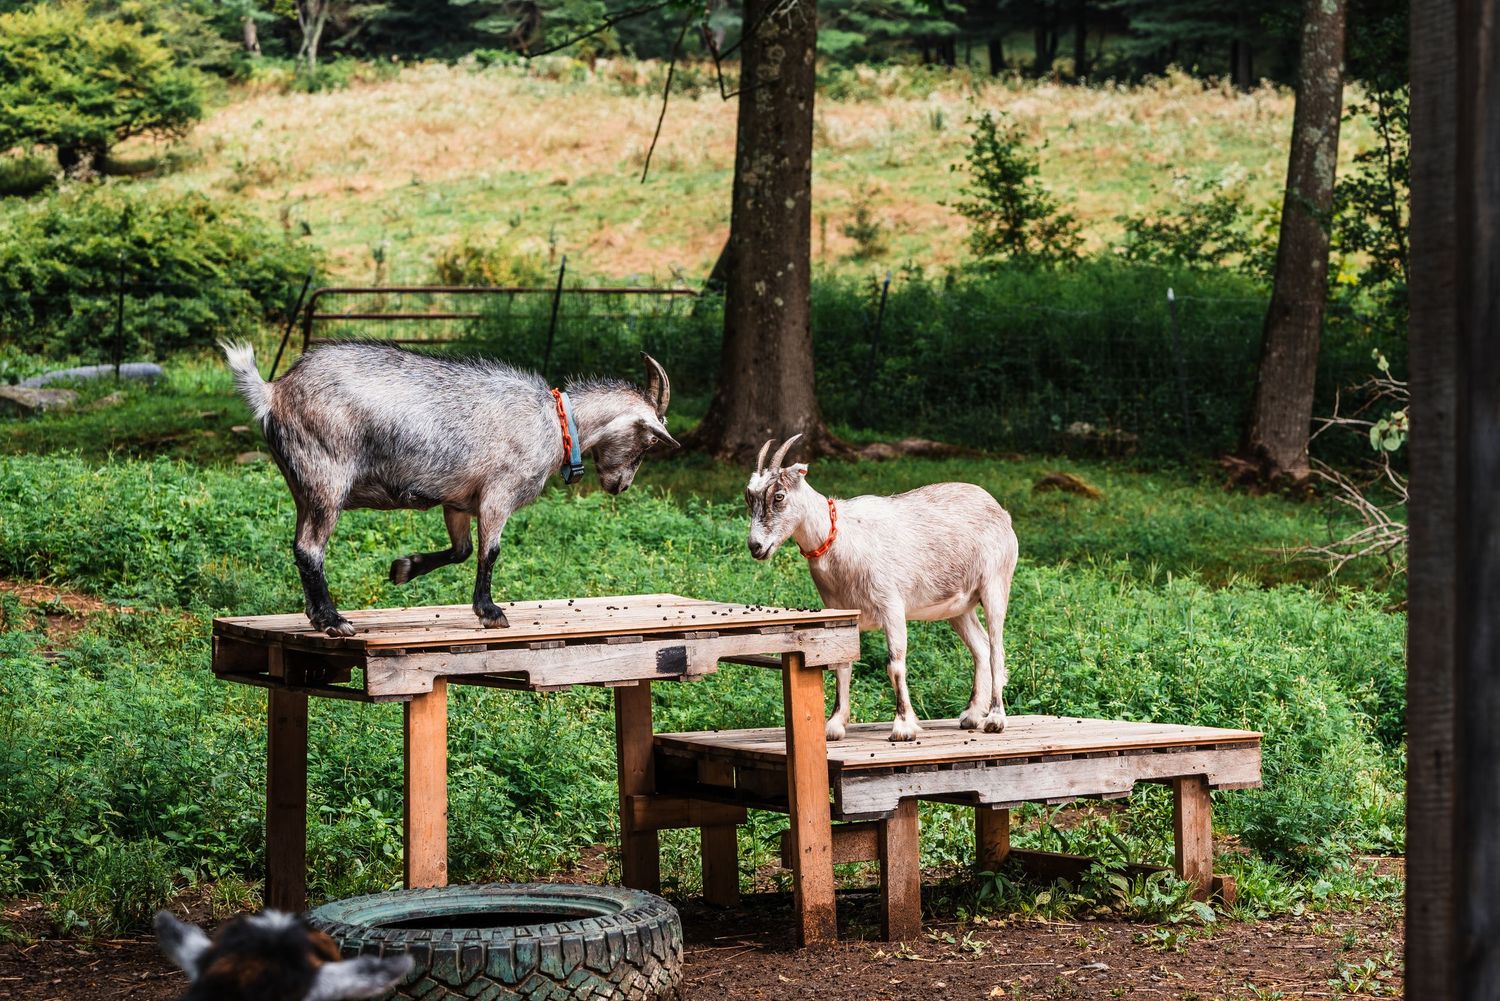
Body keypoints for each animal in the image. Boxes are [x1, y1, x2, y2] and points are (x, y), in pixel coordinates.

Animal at [221, 341, 677, 637]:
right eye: (649, 442)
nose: (620, 485)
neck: (555, 422)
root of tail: (273, 392)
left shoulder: (458, 502)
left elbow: (463, 550)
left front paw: (404, 568)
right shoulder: (498, 495)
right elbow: (490, 551)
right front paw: (490, 612)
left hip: (303, 486)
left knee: (300, 546)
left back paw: (318, 616)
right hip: (326, 479)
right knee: (310, 548)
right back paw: (334, 621)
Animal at [745, 436, 1019, 742]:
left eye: (779, 496)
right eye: (749, 495)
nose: (756, 546)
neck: (844, 538)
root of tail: (1000, 511)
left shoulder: (891, 606)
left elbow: (895, 663)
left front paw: (903, 726)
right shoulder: (843, 612)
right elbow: (842, 665)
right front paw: (834, 725)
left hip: (995, 585)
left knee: (996, 648)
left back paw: (994, 719)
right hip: (958, 608)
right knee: (980, 647)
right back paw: (971, 715)